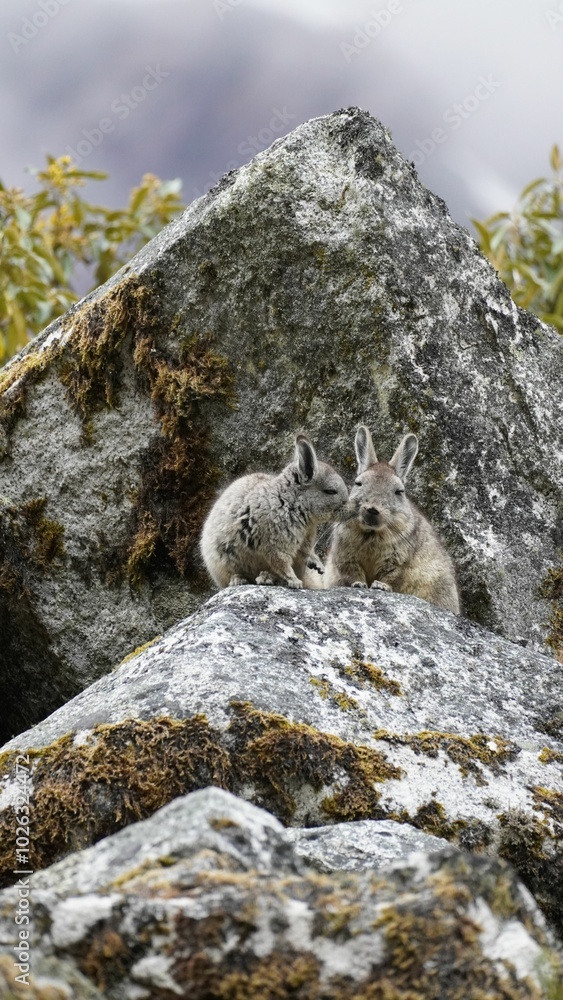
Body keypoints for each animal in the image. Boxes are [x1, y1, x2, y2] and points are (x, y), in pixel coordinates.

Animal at [200, 434, 349, 590]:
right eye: (330, 491)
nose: (352, 510)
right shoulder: (275, 545)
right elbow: (282, 565)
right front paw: (295, 582)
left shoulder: (304, 544)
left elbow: (304, 556)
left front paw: (318, 567)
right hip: (221, 562)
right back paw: (242, 579)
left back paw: (267, 576)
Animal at [323, 425, 460, 614]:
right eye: (358, 483)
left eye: (399, 491)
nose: (372, 509)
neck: (371, 534)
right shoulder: (344, 555)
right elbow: (352, 573)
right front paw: (358, 585)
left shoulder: (399, 561)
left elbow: (391, 577)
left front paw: (379, 586)